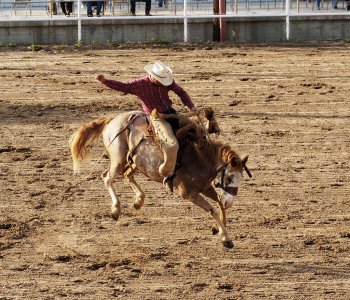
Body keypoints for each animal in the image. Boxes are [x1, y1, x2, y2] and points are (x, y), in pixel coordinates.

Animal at [68, 108, 250, 248]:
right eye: (229, 177)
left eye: (241, 178)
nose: (230, 202)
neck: (200, 157)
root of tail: (113, 120)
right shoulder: (188, 192)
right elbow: (213, 209)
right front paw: (226, 237)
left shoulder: (205, 187)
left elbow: (219, 203)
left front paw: (217, 228)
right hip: (118, 160)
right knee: (107, 177)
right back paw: (116, 209)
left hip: (134, 163)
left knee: (126, 175)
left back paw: (138, 201)